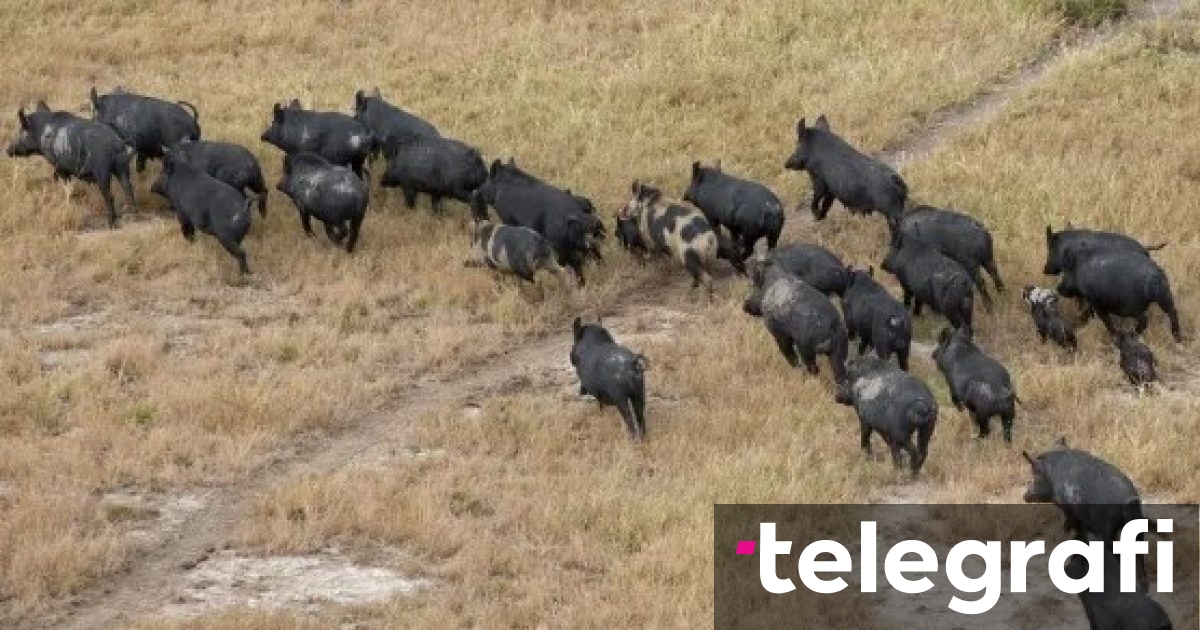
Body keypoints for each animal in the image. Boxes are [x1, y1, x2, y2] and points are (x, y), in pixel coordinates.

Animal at [1017, 436, 1147, 590]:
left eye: (1035, 476)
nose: (1025, 496)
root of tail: (1129, 500)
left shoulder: (1072, 511)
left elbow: (1076, 530)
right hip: (1138, 525)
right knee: (1140, 556)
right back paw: (1143, 585)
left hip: (1108, 529)